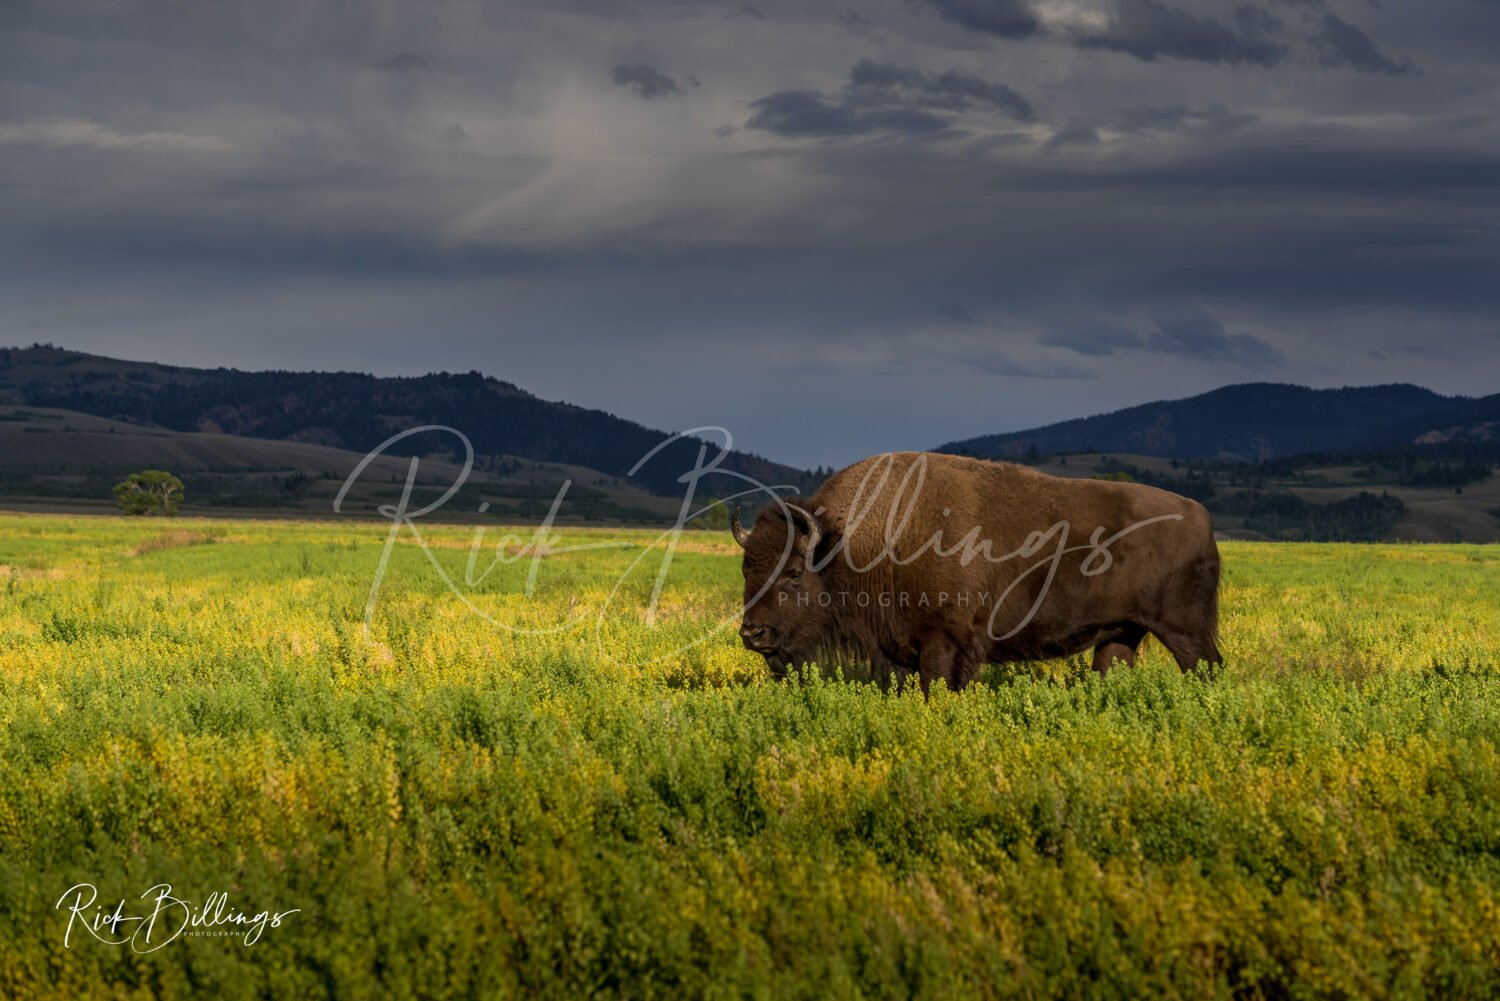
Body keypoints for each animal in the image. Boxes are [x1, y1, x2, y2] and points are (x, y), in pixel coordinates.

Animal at [733, 451, 1222, 692]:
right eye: (745, 569)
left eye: (794, 572)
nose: (751, 634)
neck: (850, 545)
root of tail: (1201, 515)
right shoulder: (900, 651)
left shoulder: (943, 645)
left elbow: (938, 687)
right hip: (1121, 633)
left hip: (1183, 629)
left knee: (1208, 667)